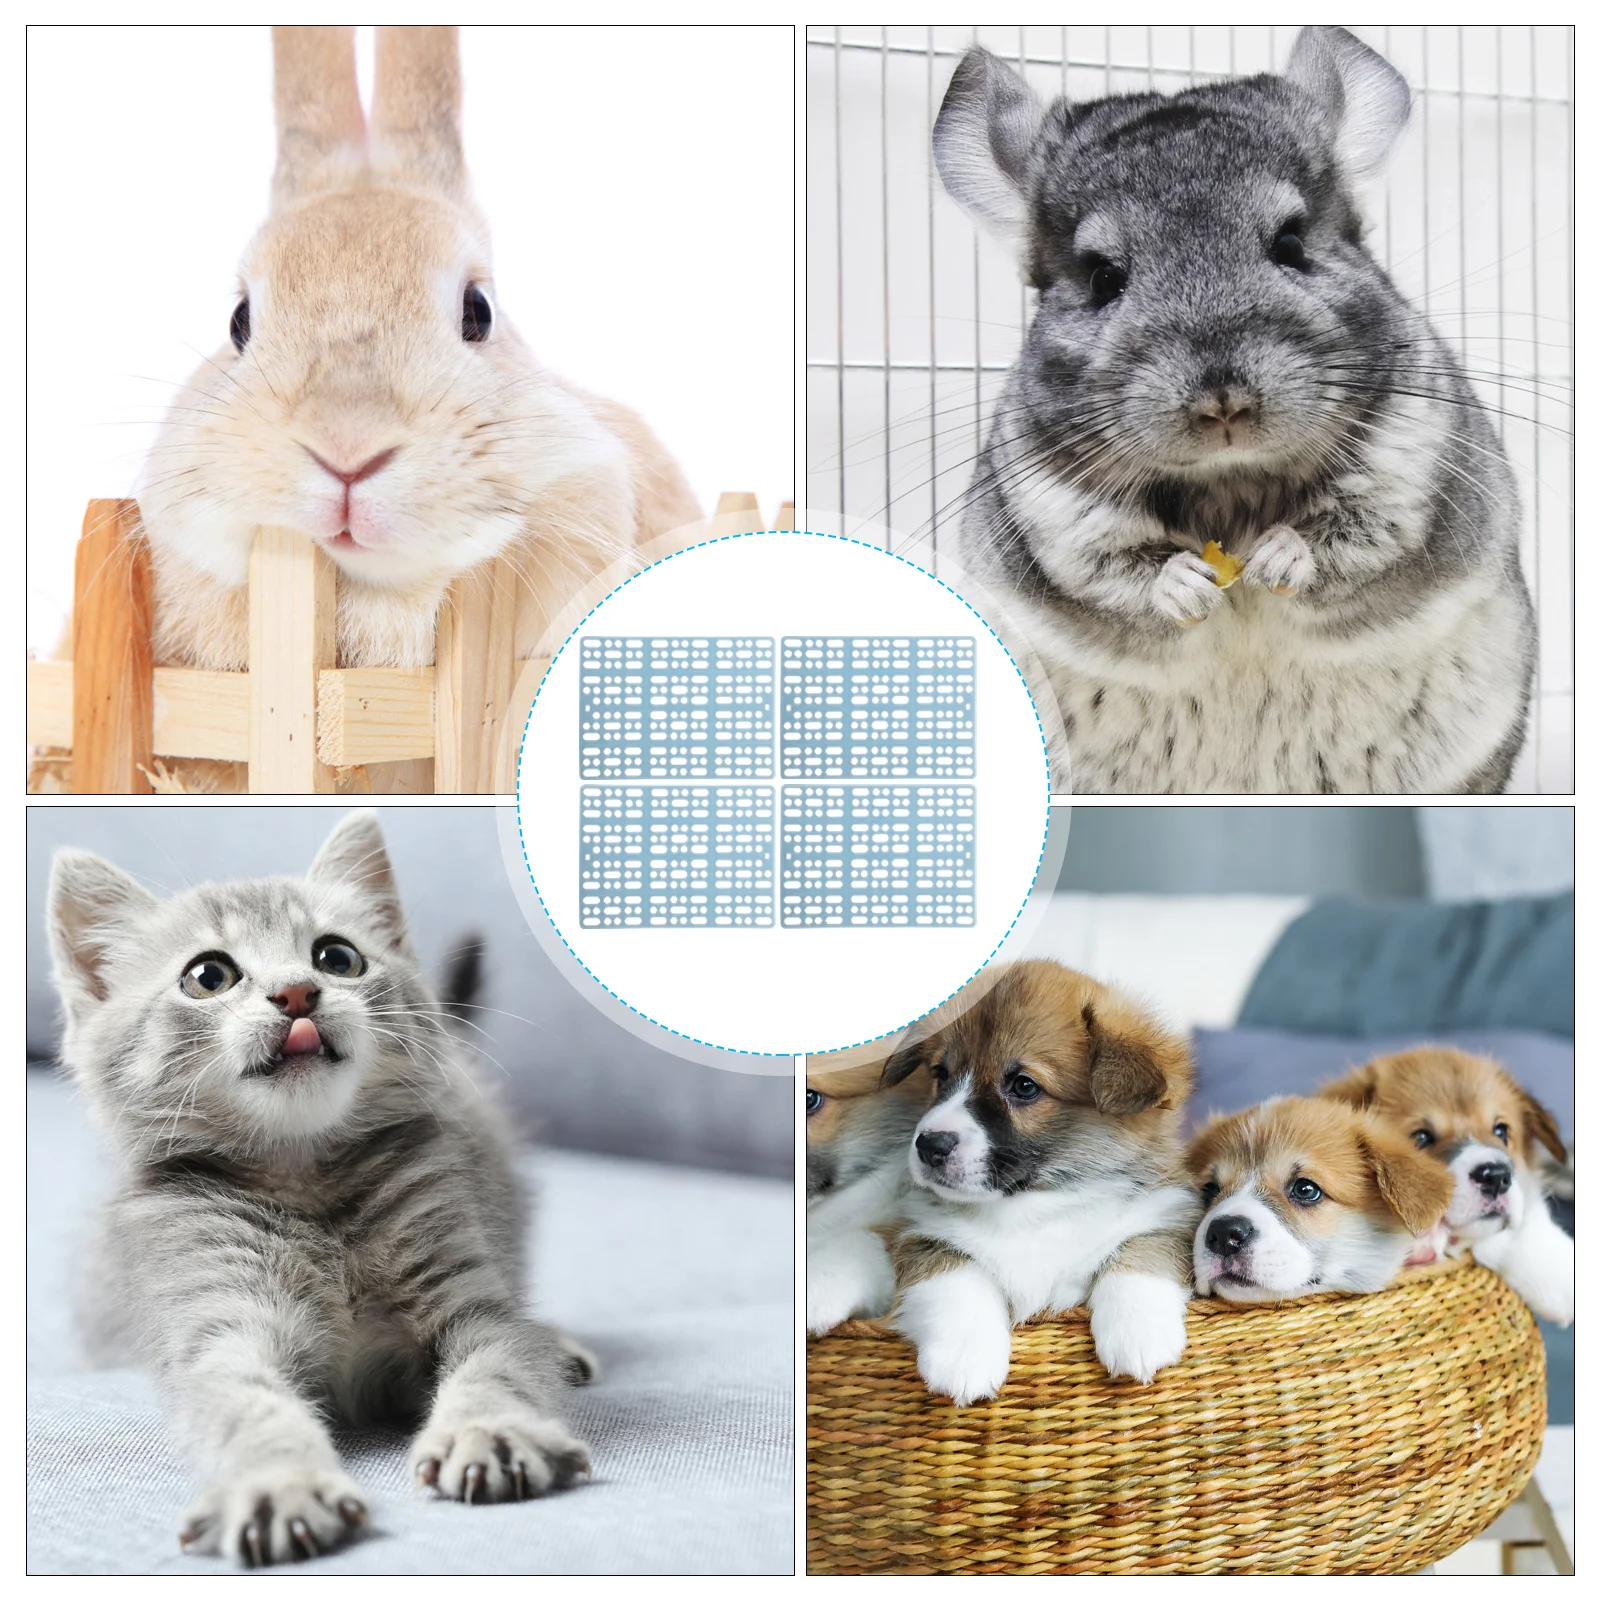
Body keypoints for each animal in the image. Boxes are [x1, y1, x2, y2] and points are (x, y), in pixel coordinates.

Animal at [932, 26, 1535, 795]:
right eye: (1102, 277)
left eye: (1291, 243)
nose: (1223, 403)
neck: (1231, 481)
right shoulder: (1057, 521)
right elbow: (1113, 573)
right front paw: (1186, 584)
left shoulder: (1410, 475)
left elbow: (1355, 538)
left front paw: (1279, 555)